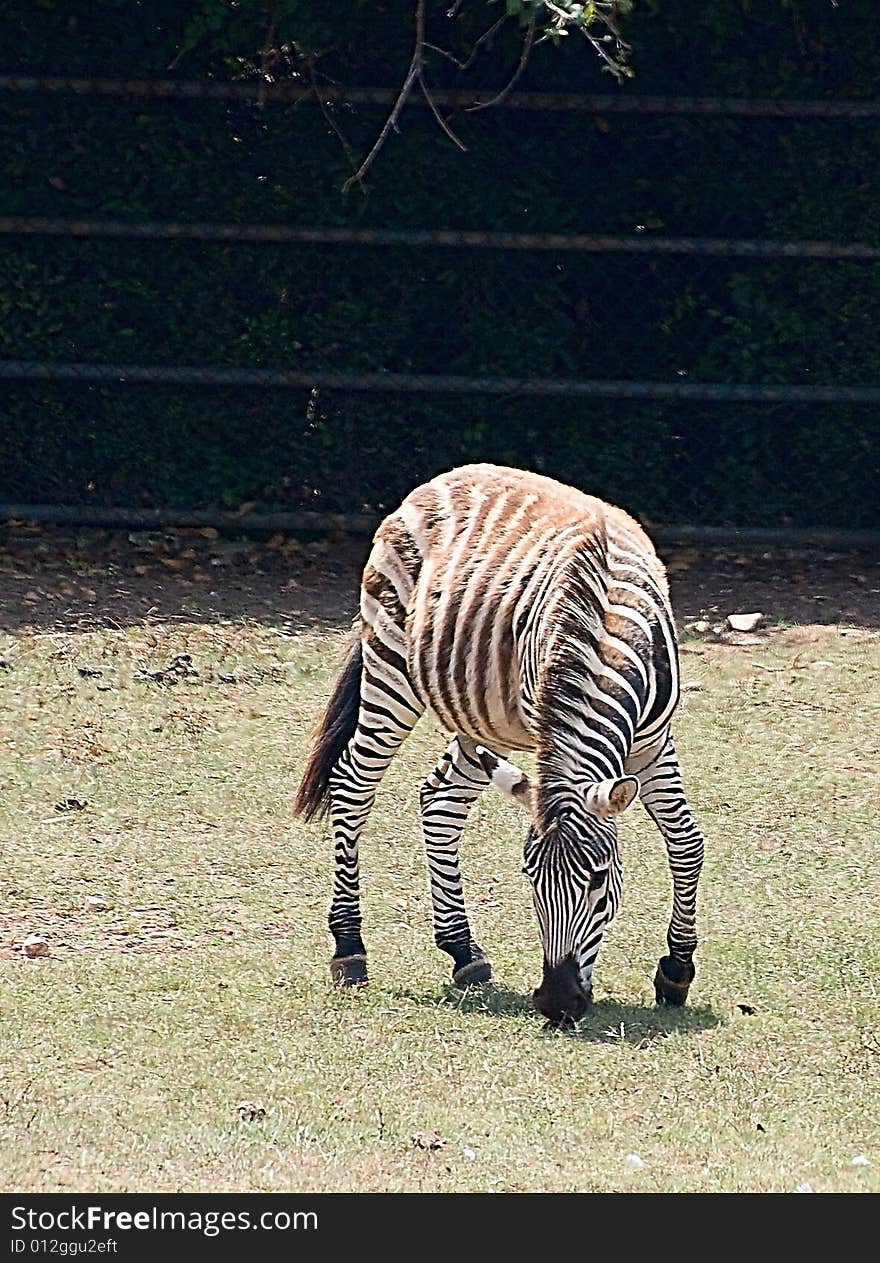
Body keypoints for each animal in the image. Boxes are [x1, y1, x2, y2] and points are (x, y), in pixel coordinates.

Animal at [295, 464, 707, 1025]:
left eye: (600, 880)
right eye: (530, 879)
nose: (557, 1004)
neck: (607, 637)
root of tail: (436, 481)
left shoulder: (653, 742)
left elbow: (686, 843)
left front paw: (676, 971)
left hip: (478, 710)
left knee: (439, 798)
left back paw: (463, 952)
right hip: (391, 664)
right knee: (353, 786)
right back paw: (349, 947)